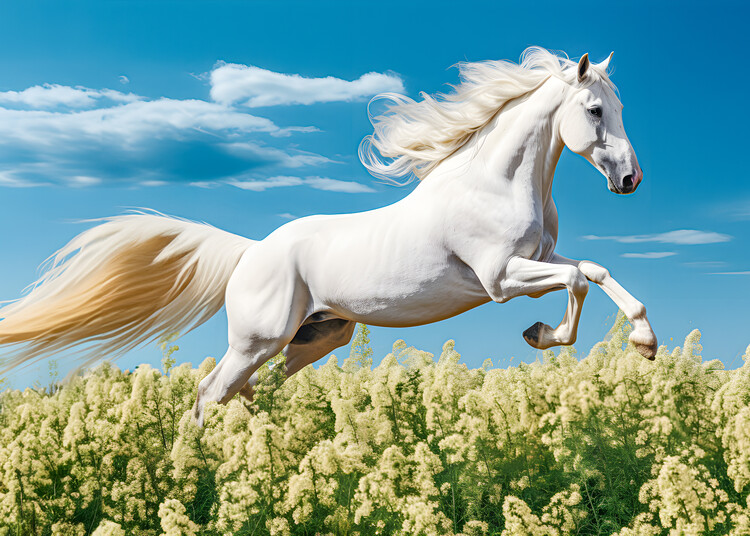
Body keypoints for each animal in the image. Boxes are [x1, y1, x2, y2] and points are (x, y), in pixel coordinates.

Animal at [0, 48, 657, 427]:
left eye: (621, 107)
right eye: (595, 110)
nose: (630, 179)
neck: (494, 182)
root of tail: (250, 251)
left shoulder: (535, 260)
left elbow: (593, 271)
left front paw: (645, 342)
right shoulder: (500, 277)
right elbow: (575, 282)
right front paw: (542, 334)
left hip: (317, 337)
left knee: (252, 392)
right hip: (258, 339)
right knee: (209, 392)